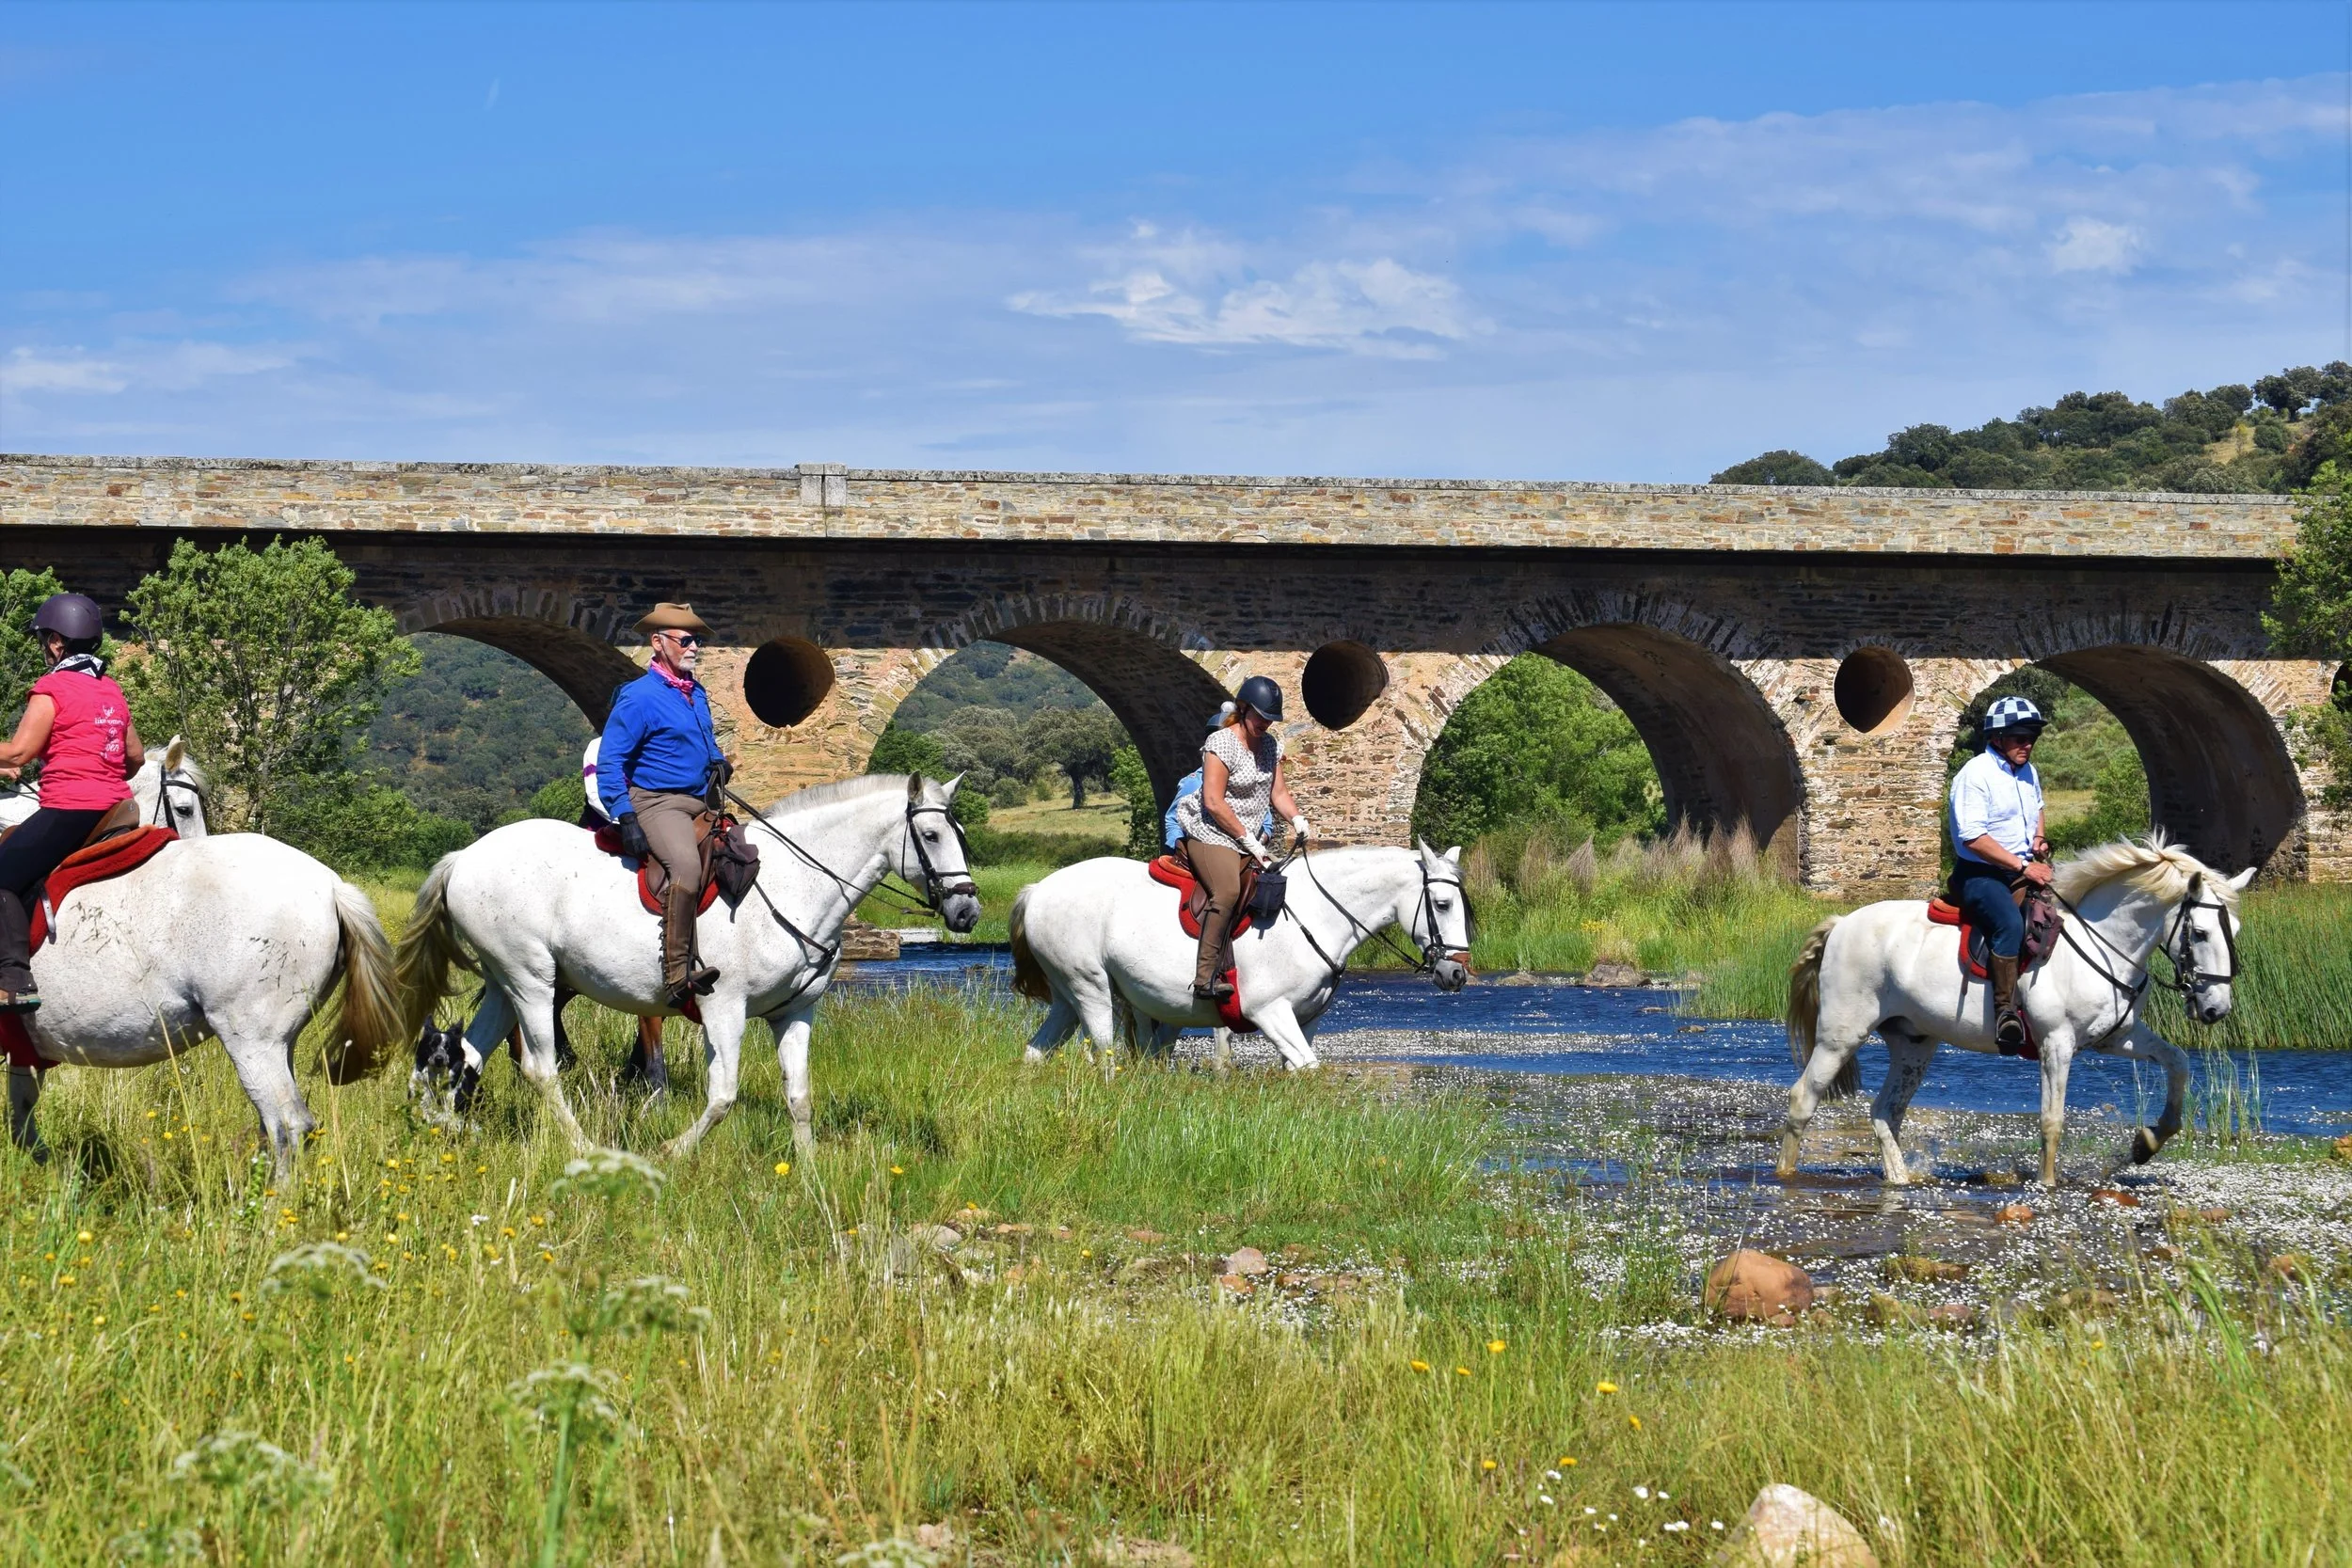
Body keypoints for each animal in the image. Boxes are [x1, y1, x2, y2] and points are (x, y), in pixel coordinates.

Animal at [6, 740, 404, 1174]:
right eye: (184, 810)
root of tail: (331, 885)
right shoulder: (24, 1050)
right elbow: (22, 1119)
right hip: (282, 1042)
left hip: (253, 1041)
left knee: (288, 1124)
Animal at [392, 773, 980, 1158]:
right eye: (931, 836)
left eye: (959, 835)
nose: (967, 910)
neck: (794, 882)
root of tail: (464, 858)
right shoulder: (724, 1010)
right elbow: (722, 1097)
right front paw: (672, 1152)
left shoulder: (794, 1014)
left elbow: (799, 1097)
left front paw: (809, 1175)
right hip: (531, 980)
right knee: (540, 1069)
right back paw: (585, 1145)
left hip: (502, 983)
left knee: (468, 1054)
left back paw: (445, 1127)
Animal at [1009, 841, 1474, 1070]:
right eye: (1443, 904)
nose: (1456, 974)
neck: (1317, 914)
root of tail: (1038, 890)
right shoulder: (1270, 1012)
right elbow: (1308, 1066)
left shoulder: (1306, 1020)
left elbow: (1296, 1069)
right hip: (1090, 988)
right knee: (1104, 1054)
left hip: (1067, 997)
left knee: (1036, 1052)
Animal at [1782, 832, 2251, 1189]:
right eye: (2201, 932)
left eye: (2236, 930)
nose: (2216, 1008)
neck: (2102, 945)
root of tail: (1842, 923)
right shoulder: (2056, 1044)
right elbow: (2051, 1120)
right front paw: (2047, 1183)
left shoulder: (2117, 1037)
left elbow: (2179, 1062)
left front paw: (2147, 1143)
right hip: (1841, 1035)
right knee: (1803, 1099)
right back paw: (1785, 1174)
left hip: (1914, 1043)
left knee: (1885, 1114)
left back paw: (1899, 1180)